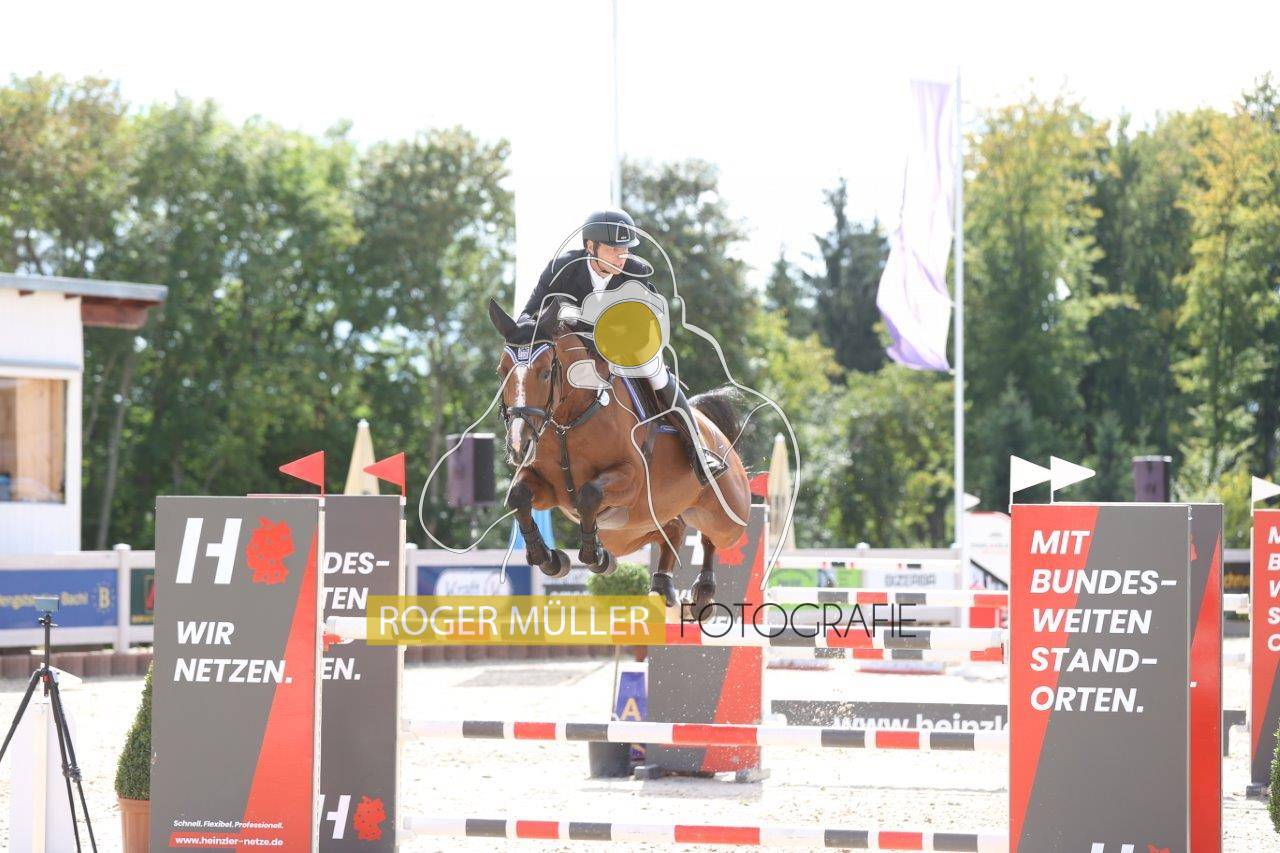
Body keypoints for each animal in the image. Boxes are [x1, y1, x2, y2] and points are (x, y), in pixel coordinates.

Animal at [487, 297, 751, 614]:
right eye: (501, 372)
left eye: (545, 372)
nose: (519, 444)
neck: (567, 422)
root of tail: (712, 428)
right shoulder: (547, 487)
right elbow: (518, 497)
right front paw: (551, 559)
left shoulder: (630, 478)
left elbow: (589, 495)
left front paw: (595, 556)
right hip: (630, 530)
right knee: (673, 528)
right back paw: (662, 585)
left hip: (727, 517)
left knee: (713, 536)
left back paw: (704, 593)